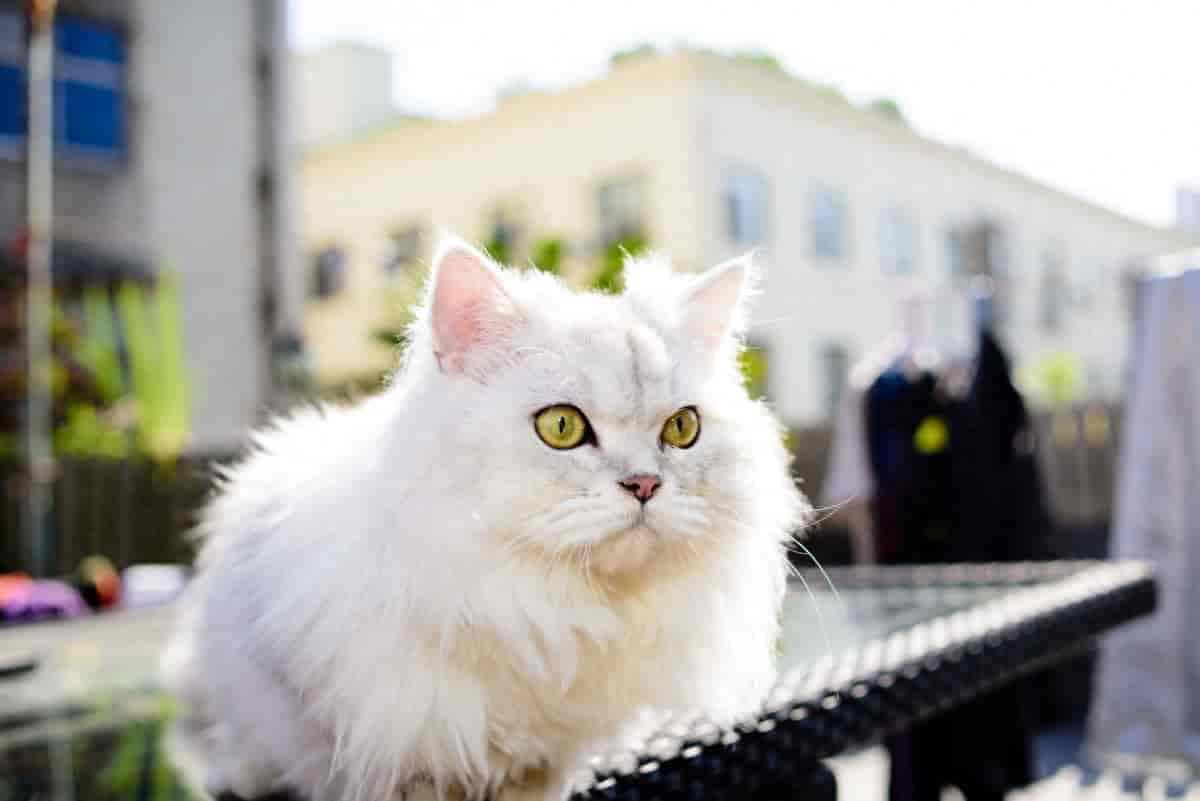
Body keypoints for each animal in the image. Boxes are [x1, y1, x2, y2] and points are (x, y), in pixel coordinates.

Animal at [161, 236, 808, 801]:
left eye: (682, 428)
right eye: (561, 427)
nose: (645, 484)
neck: (541, 608)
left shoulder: (550, 752)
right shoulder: (386, 745)